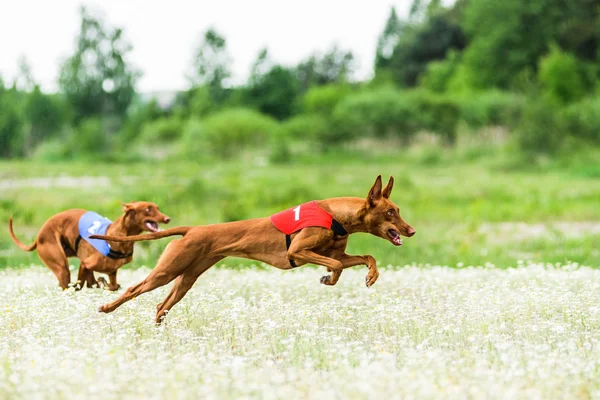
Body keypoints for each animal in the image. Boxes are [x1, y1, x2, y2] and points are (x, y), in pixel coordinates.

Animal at [8, 203, 171, 290]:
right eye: (148, 209)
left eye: (157, 207)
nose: (167, 218)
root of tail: (38, 236)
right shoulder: (85, 264)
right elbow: (80, 285)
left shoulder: (111, 272)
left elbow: (111, 286)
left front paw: (104, 284)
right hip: (61, 266)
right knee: (68, 284)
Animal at [90, 177, 418, 324]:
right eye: (390, 212)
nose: (411, 230)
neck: (336, 215)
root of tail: (192, 229)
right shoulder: (297, 252)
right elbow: (335, 266)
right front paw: (329, 278)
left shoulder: (337, 253)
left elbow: (365, 258)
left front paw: (369, 276)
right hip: (168, 269)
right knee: (135, 288)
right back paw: (107, 308)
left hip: (188, 276)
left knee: (162, 305)